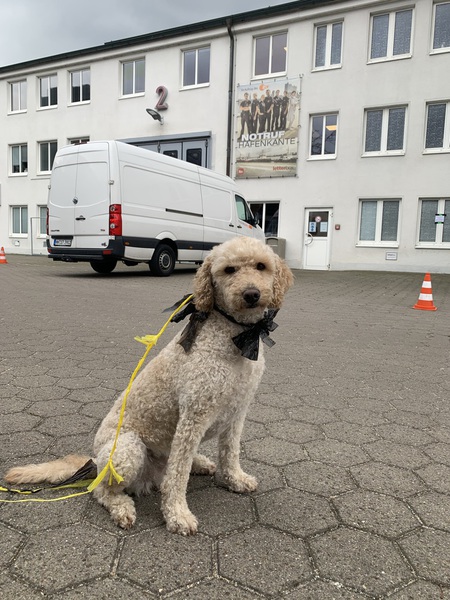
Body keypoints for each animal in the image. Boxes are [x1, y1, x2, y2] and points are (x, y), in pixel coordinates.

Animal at [5, 237, 293, 535]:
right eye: (229, 270)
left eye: (261, 266)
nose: (251, 294)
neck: (236, 336)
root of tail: (95, 462)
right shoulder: (194, 414)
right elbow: (177, 477)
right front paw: (177, 514)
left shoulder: (237, 411)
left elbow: (230, 452)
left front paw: (234, 479)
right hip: (127, 449)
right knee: (102, 490)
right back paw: (122, 508)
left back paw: (200, 463)